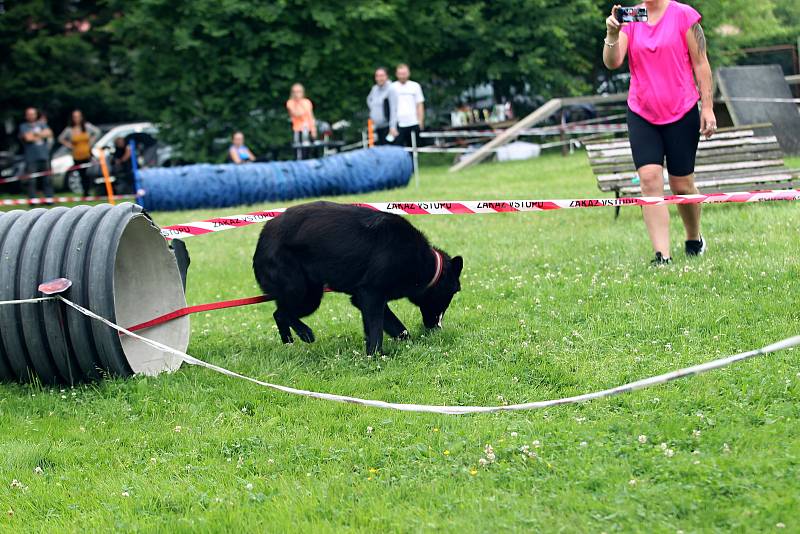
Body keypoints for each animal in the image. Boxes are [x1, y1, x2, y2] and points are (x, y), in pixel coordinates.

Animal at [250, 201, 462, 356]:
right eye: (451, 294)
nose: (437, 329)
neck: (426, 264)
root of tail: (262, 237)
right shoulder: (371, 295)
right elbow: (376, 329)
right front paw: (375, 356)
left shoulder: (365, 299)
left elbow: (397, 328)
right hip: (304, 294)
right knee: (281, 312)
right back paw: (305, 333)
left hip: (310, 292)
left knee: (279, 313)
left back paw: (288, 343)